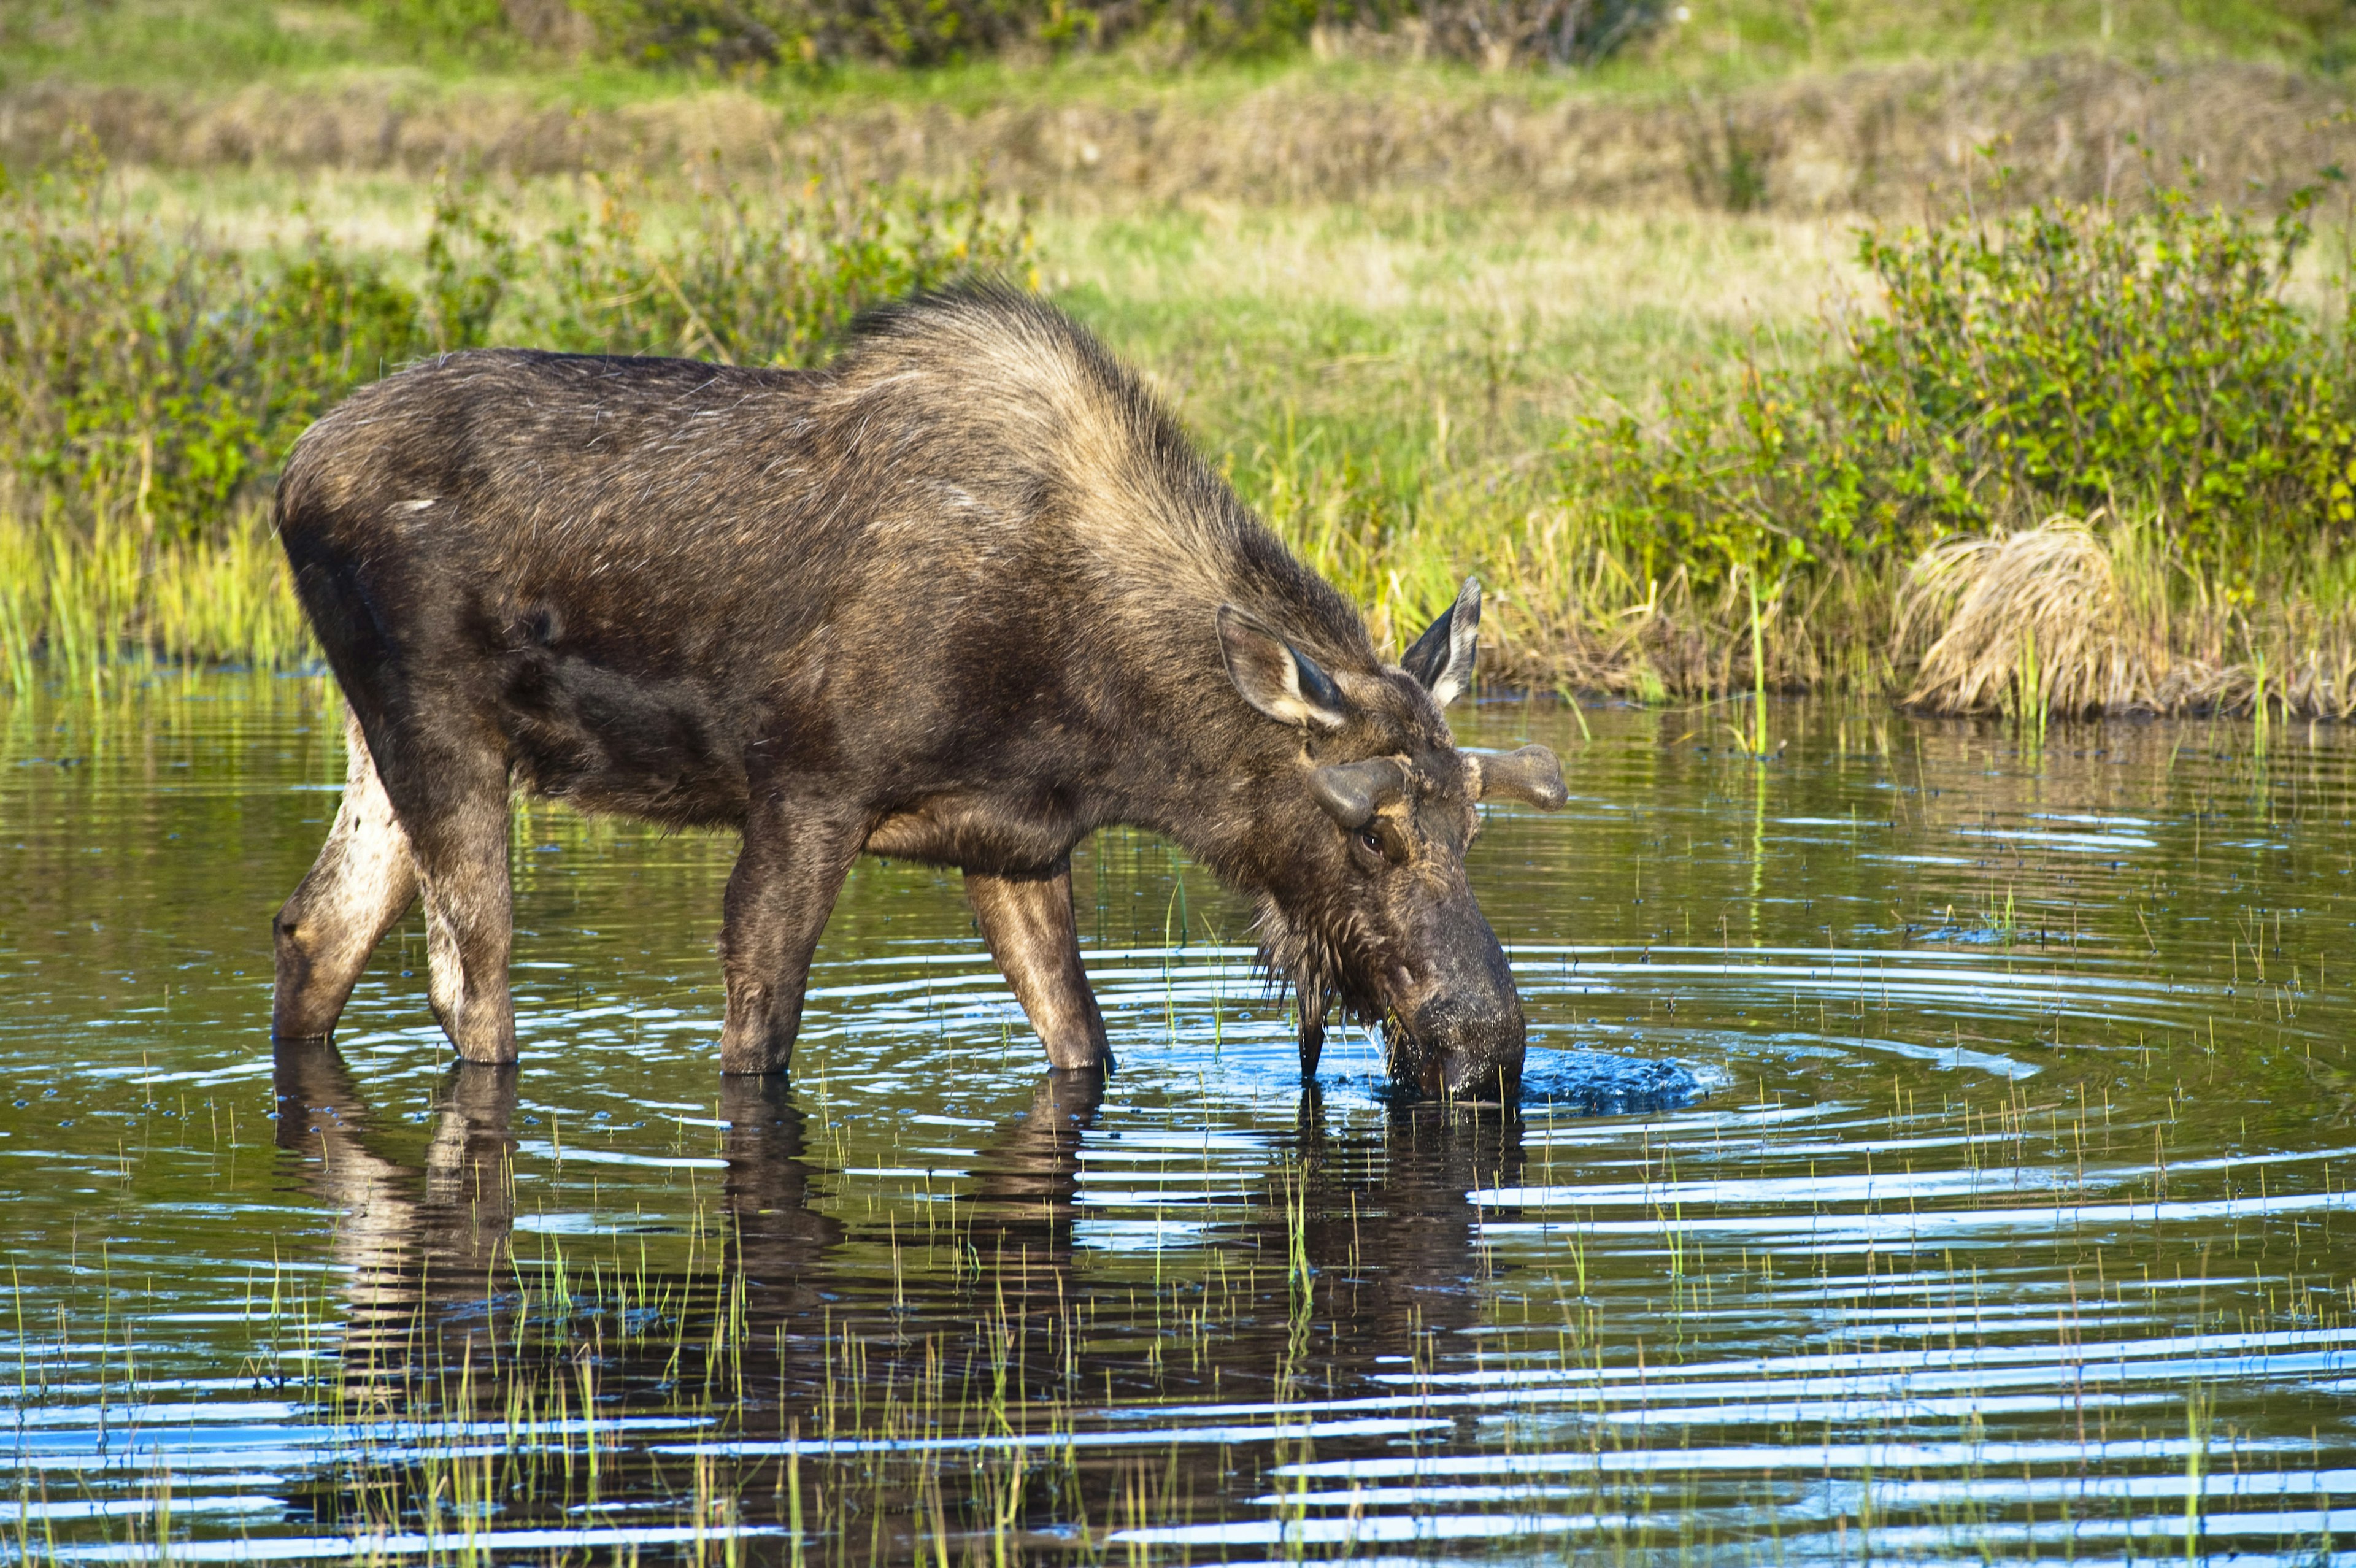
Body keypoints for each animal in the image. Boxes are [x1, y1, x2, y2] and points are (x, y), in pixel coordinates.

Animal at [268, 287, 1565, 1101]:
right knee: (469, 982)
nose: (1489, 1045)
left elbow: (1083, 1045)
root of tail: (288, 481)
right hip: (442, 725)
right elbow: (759, 1034)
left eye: (1471, 825)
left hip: (377, 741)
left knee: (317, 932)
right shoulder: (807, 792)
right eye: (1371, 836)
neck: (1117, 727)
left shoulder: (1016, 846)